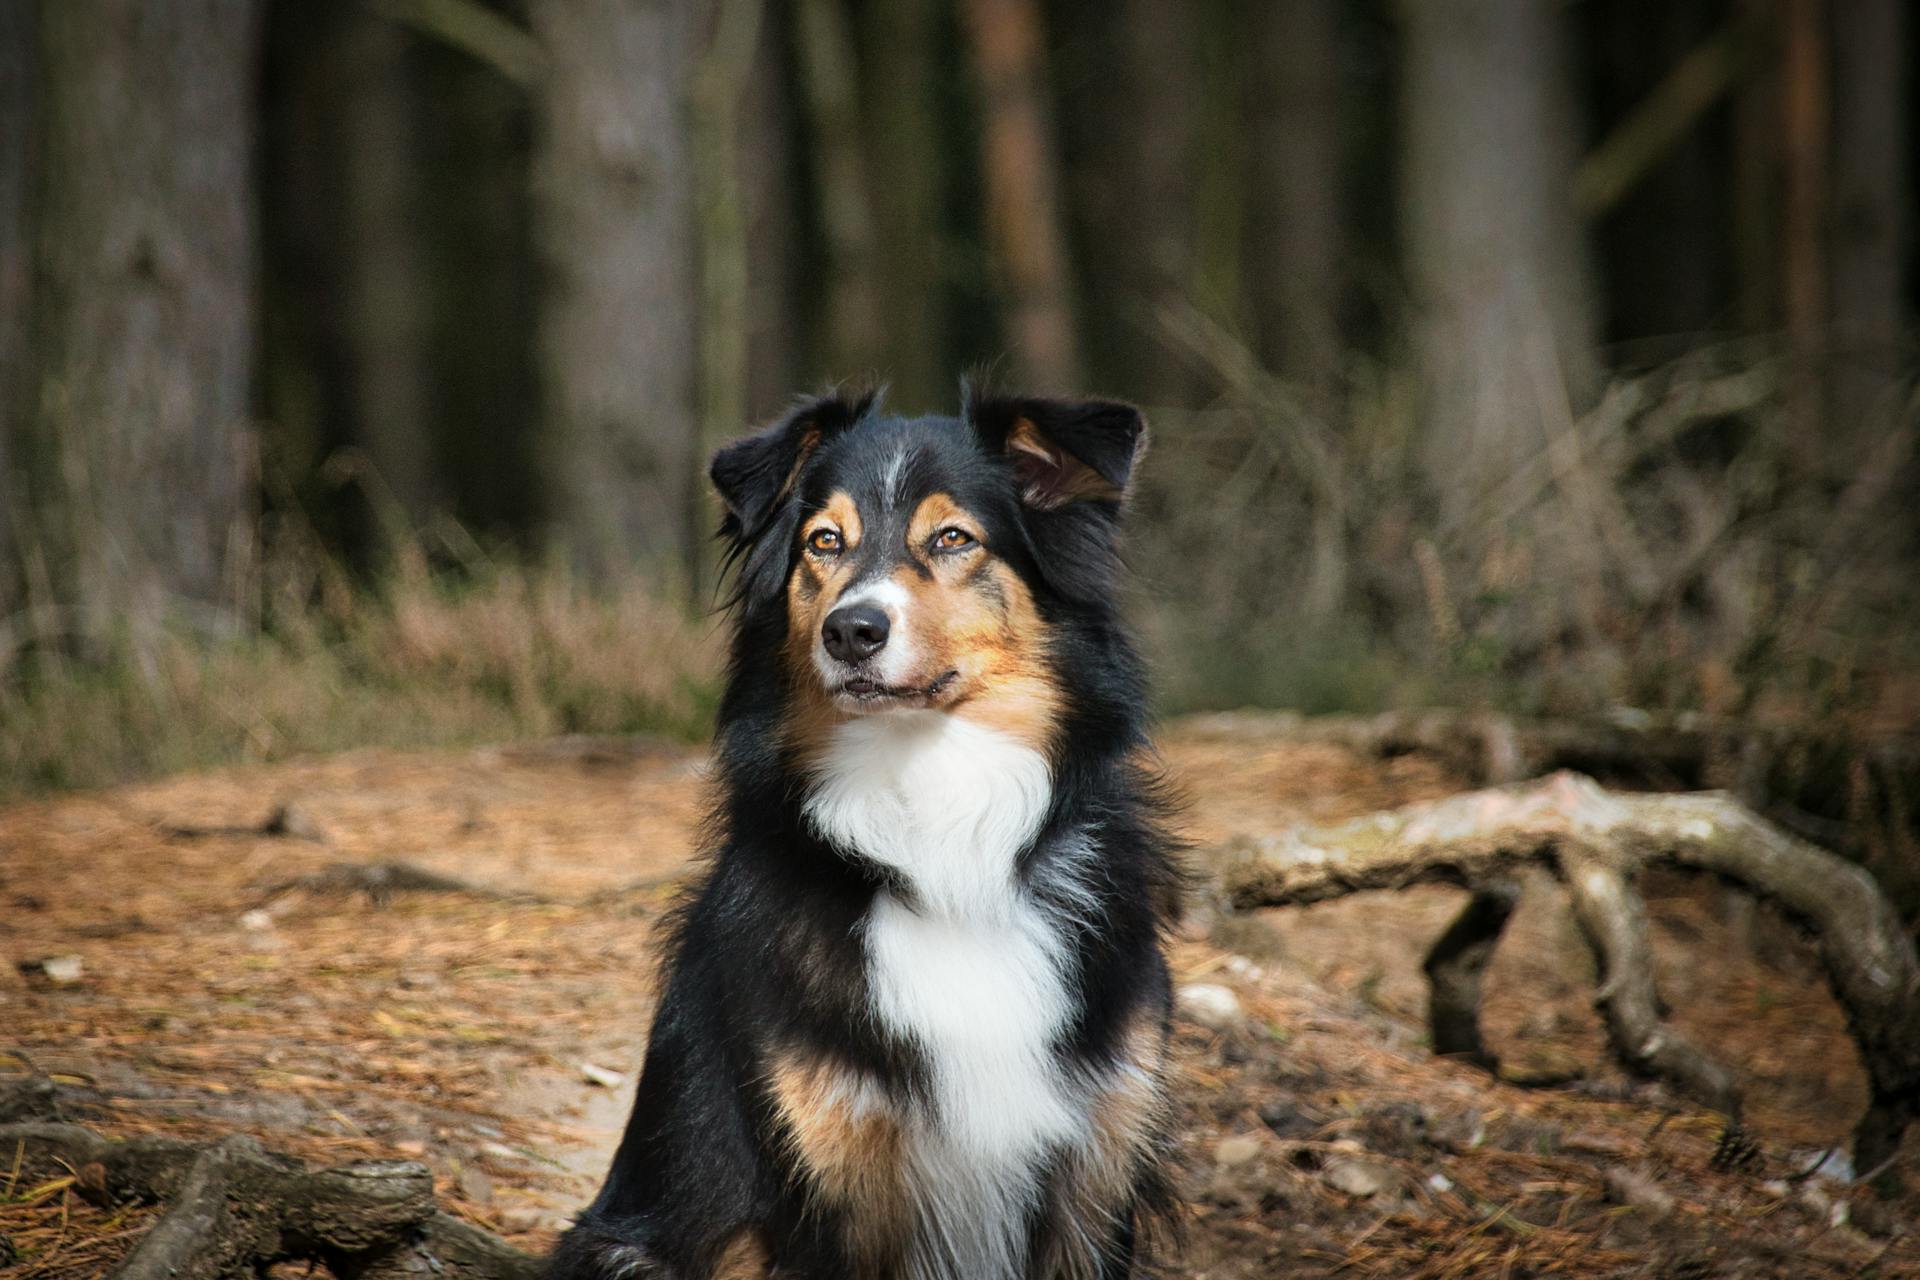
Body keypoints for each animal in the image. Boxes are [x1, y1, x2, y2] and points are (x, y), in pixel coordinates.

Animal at [549, 391, 1182, 1280]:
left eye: (953, 538)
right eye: (825, 542)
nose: (852, 631)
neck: (938, 836)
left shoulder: (1095, 1177)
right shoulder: (825, 1181)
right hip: (620, 1252)